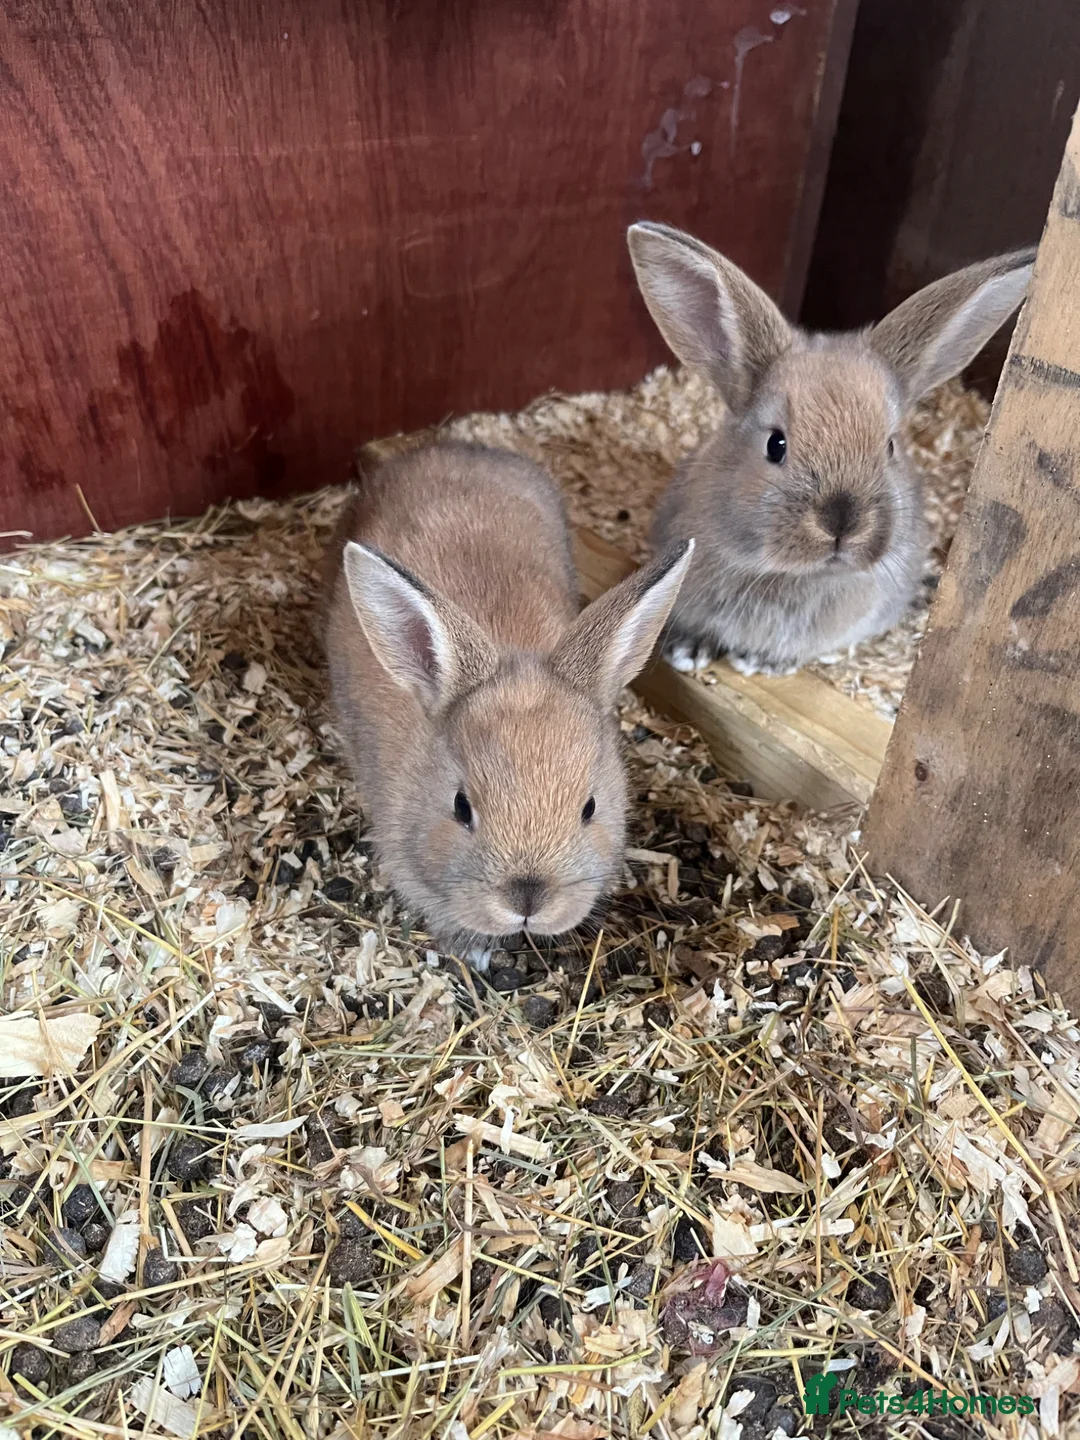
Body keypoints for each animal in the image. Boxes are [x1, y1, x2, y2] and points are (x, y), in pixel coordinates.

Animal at [626, 221, 1036, 676]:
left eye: (890, 447)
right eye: (776, 444)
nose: (842, 523)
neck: (797, 574)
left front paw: (762, 662)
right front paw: (688, 651)